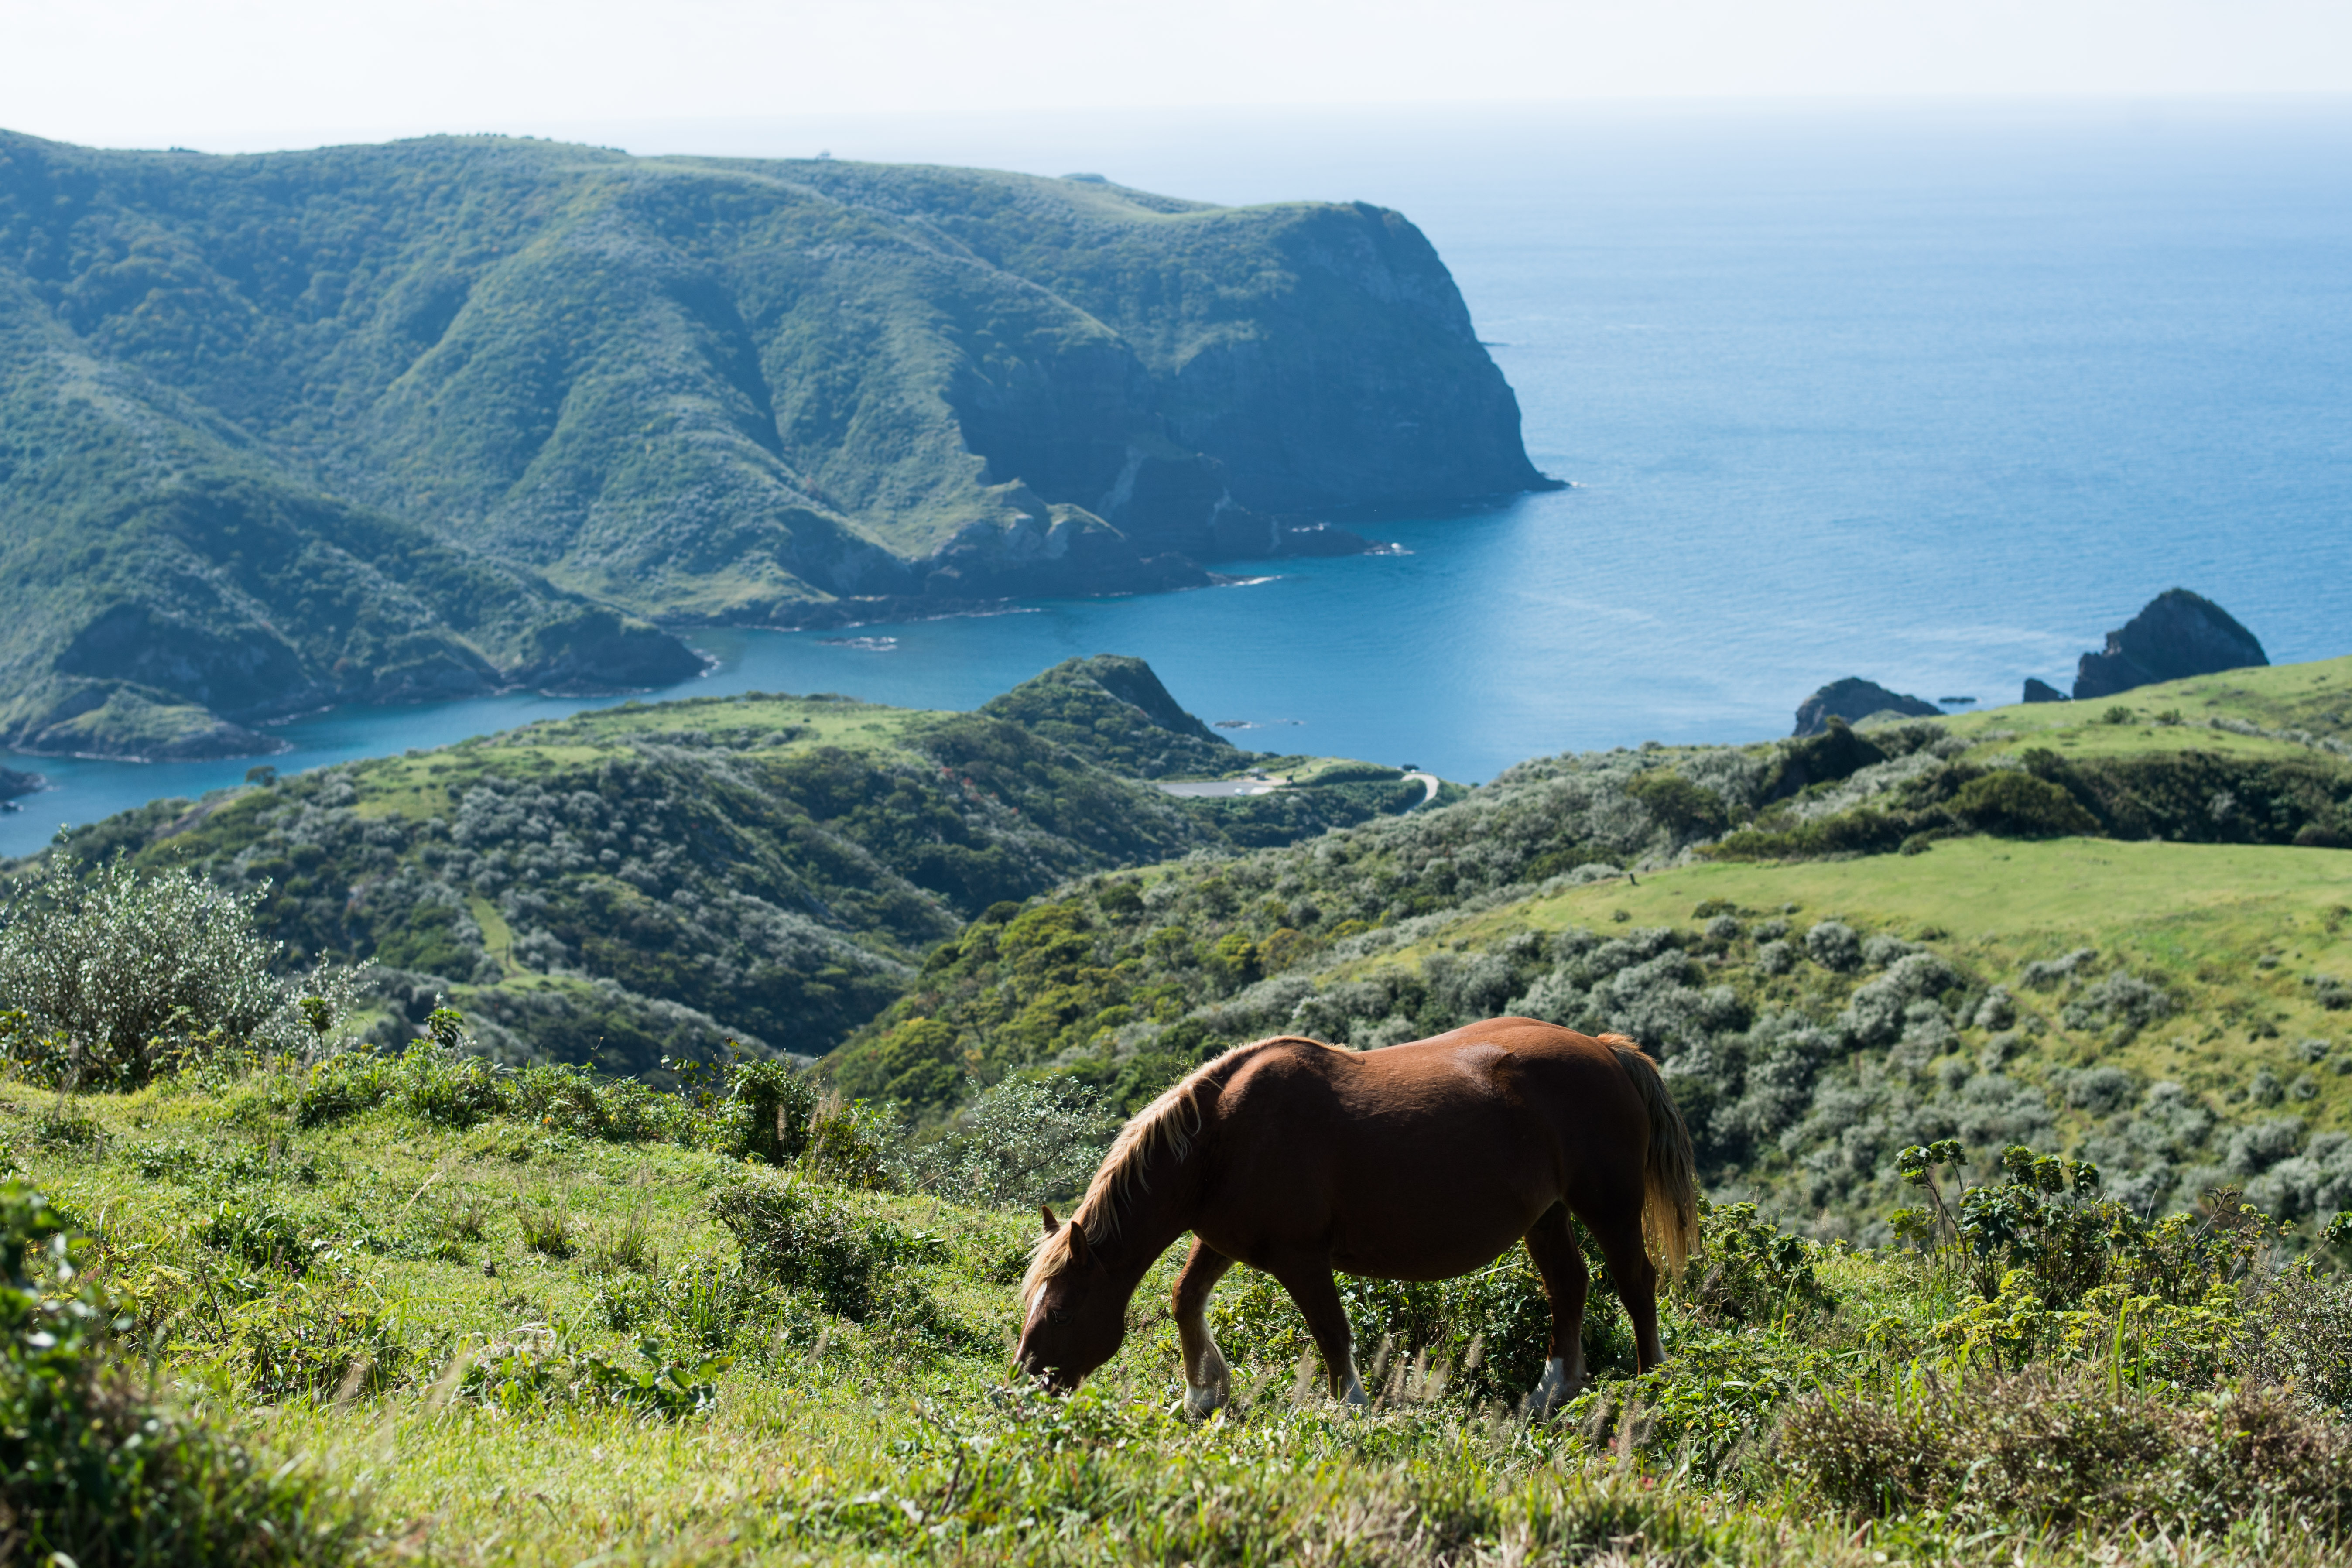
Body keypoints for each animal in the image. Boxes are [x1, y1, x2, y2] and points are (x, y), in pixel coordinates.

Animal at [1011, 1020, 1693, 1420]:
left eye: (1064, 1312)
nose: (1022, 1385)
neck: (1222, 1137)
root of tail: (1606, 1051)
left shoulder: (1301, 1258)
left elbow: (1331, 1332)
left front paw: (1350, 1408)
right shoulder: (1223, 1241)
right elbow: (1185, 1299)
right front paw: (1202, 1393)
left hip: (1608, 1206)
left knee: (1635, 1282)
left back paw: (1651, 1382)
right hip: (1546, 1216)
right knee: (1569, 1287)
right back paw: (1552, 1391)